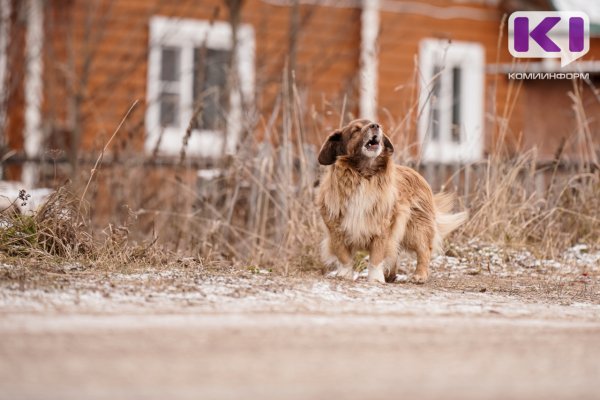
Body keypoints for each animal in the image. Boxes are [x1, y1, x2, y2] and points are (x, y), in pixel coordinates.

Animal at [316, 119, 466, 284]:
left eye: (372, 123)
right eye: (355, 130)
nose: (375, 125)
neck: (363, 176)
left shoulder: (382, 228)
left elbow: (376, 257)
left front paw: (375, 279)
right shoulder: (336, 229)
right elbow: (343, 256)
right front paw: (344, 275)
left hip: (417, 229)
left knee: (424, 251)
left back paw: (419, 275)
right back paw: (390, 275)